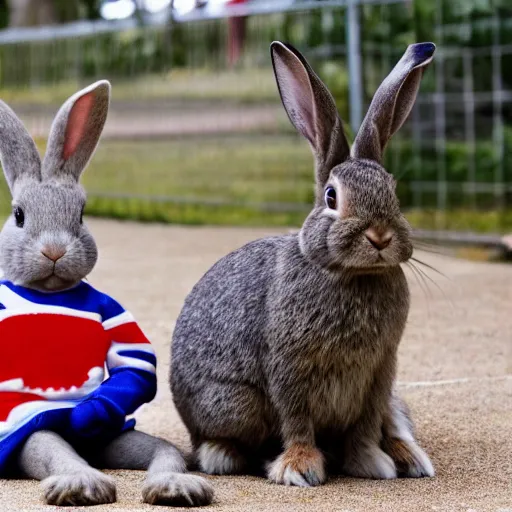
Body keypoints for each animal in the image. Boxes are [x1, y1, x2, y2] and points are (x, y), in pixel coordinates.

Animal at [0, 82, 212, 506]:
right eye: (18, 216)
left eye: (81, 216)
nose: (54, 251)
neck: (52, 293)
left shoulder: (116, 318)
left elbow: (134, 365)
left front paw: (90, 410)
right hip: (35, 436)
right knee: (50, 446)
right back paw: (80, 484)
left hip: (122, 438)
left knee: (164, 451)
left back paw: (174, 487)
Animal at [172, 42, 436, 486]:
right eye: (331, 197)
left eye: (393, 192)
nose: (380, 237)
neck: (350, 274)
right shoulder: (289, 366)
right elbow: (296, 419)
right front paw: (300, 468)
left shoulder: (381, 371)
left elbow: (366, 425)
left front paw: (372, 463)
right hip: (233, 403)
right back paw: (221, 455)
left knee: (393, 422)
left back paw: (410, 458)